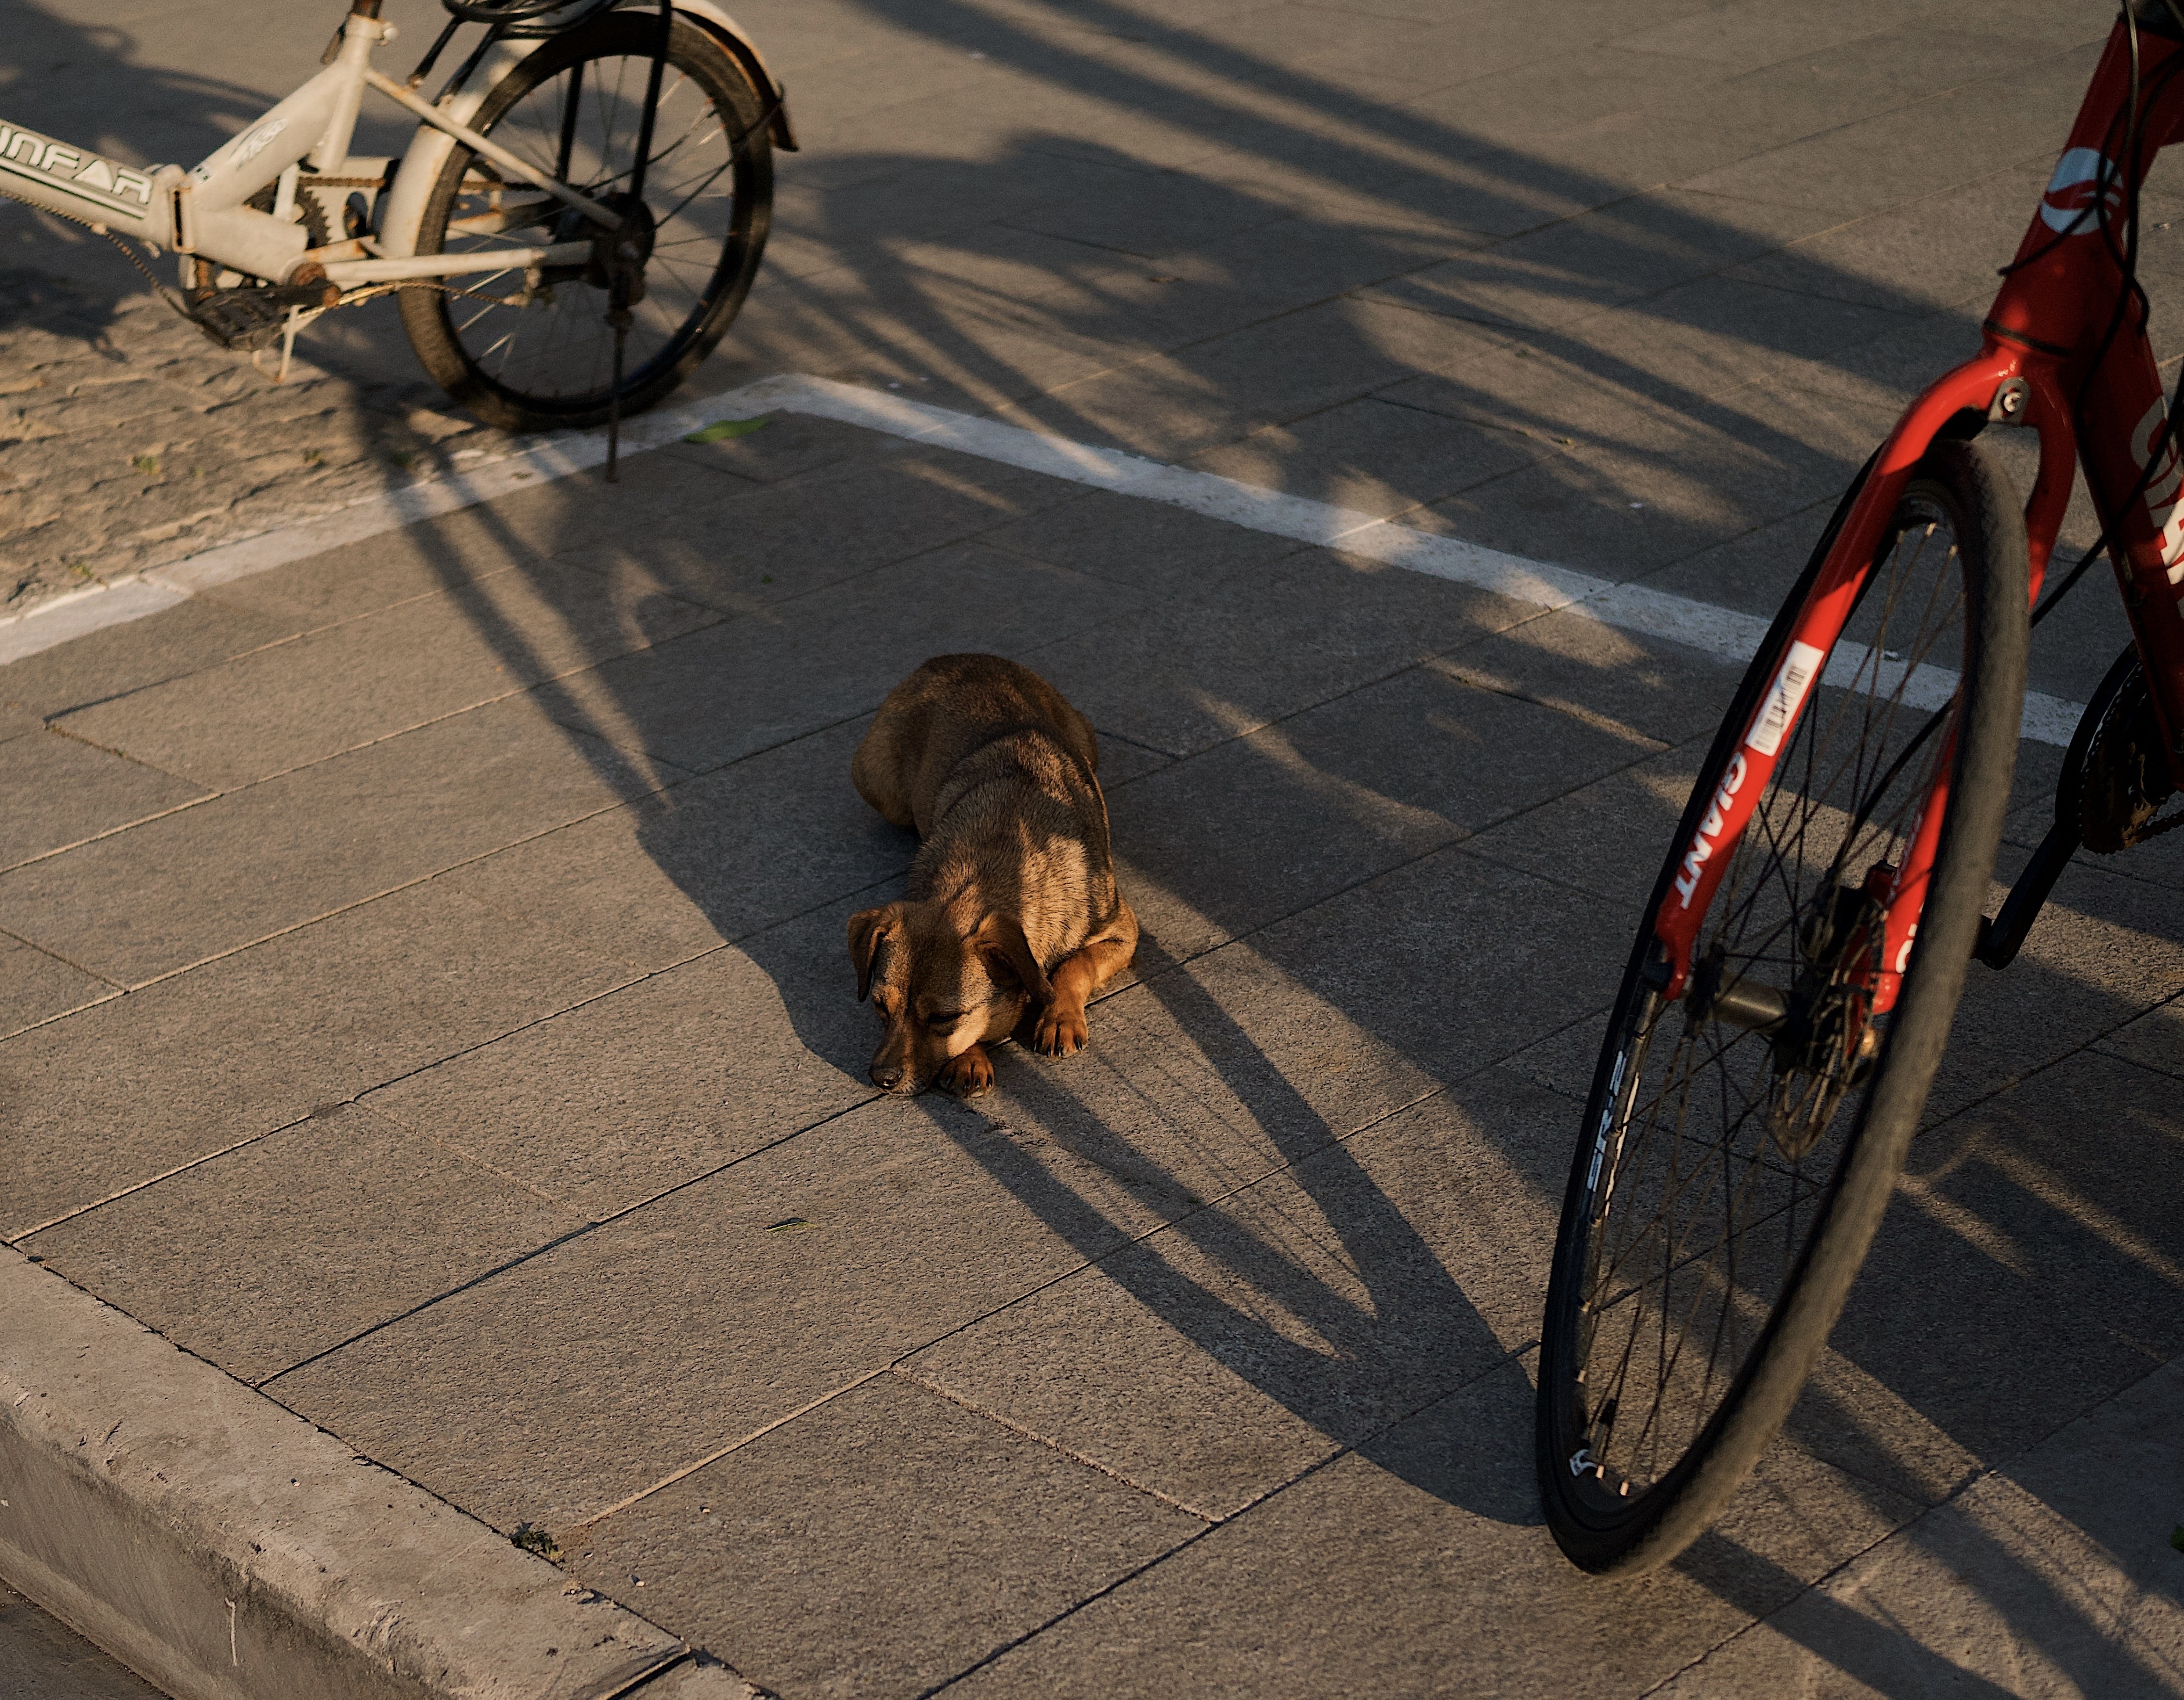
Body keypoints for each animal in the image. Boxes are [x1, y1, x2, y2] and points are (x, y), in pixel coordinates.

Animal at [838, 651, 1135, 1101]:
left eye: (944, 1017)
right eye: (879, 1006)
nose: (881, 1078)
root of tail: (951, 658)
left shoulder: (1121, 930)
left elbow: (1074, 966)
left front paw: (1059, 1017)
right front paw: (969, 1059)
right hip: (881, 786)